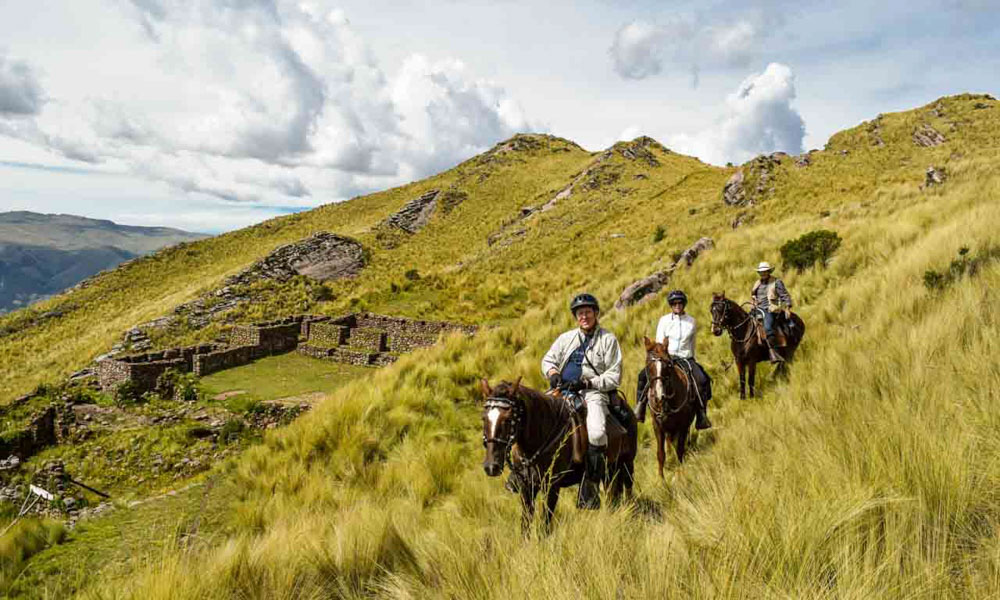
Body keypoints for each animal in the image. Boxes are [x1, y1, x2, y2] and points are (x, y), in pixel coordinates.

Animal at [476, 378, 632, 532]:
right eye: (483, 418)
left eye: (508, 419)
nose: (491, 467)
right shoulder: (527, 487)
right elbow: (526, 524)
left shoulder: (552, 487)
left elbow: (545, 525)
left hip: (625, 466)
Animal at [640, 338, 696, 478]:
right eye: (648, 366)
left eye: (668, 365)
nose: (659, 396)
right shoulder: (657, 426)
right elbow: (660, 453)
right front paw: (661, 478)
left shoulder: (682, 425)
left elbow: (680, 449)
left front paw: (681, 472)